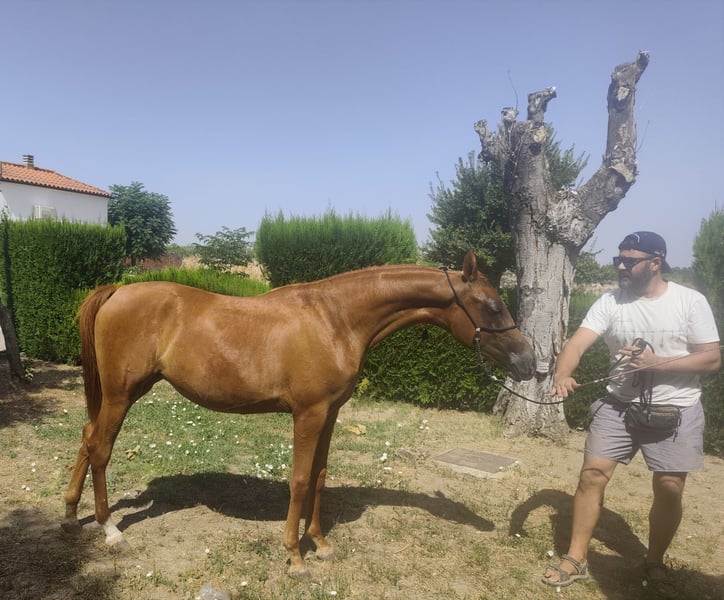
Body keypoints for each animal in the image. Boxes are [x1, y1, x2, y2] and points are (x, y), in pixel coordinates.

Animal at [62, 250, 535, 576]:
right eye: (493, 306)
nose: (529, 362)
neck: (335, 320)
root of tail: (118, 290)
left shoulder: (330, 413)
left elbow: (321, 477)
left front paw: (320, 544)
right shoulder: (307, 414)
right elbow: (301, 480)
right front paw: (295, 557)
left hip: (119, 395)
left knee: (86, 437)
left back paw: (70, 515)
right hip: (122, 394)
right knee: (100, 448)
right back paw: (109, 529)